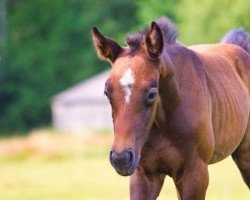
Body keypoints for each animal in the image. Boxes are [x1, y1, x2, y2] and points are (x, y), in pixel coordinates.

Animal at [92, 16, 250, 199]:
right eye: (107, 92)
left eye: (152, 93)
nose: (121, 159)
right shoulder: (144, 174)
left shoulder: (195, 174)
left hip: (245, 157)